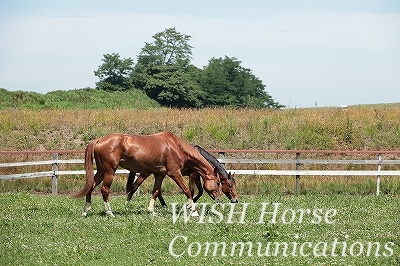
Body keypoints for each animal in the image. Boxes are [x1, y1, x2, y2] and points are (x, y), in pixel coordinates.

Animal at [71, 132, 222, 217]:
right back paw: (110, 212)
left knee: (91, 186)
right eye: (218, 182)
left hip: (101, 171)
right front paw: (194, 211)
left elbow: (155, 191)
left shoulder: (160, 174)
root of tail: (99, 140)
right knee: (104, 190)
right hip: (109, 171)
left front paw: (151, 210)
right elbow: (187, 191)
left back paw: (86, 210)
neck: (176, 146)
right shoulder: (175, 173)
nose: (220, 200)